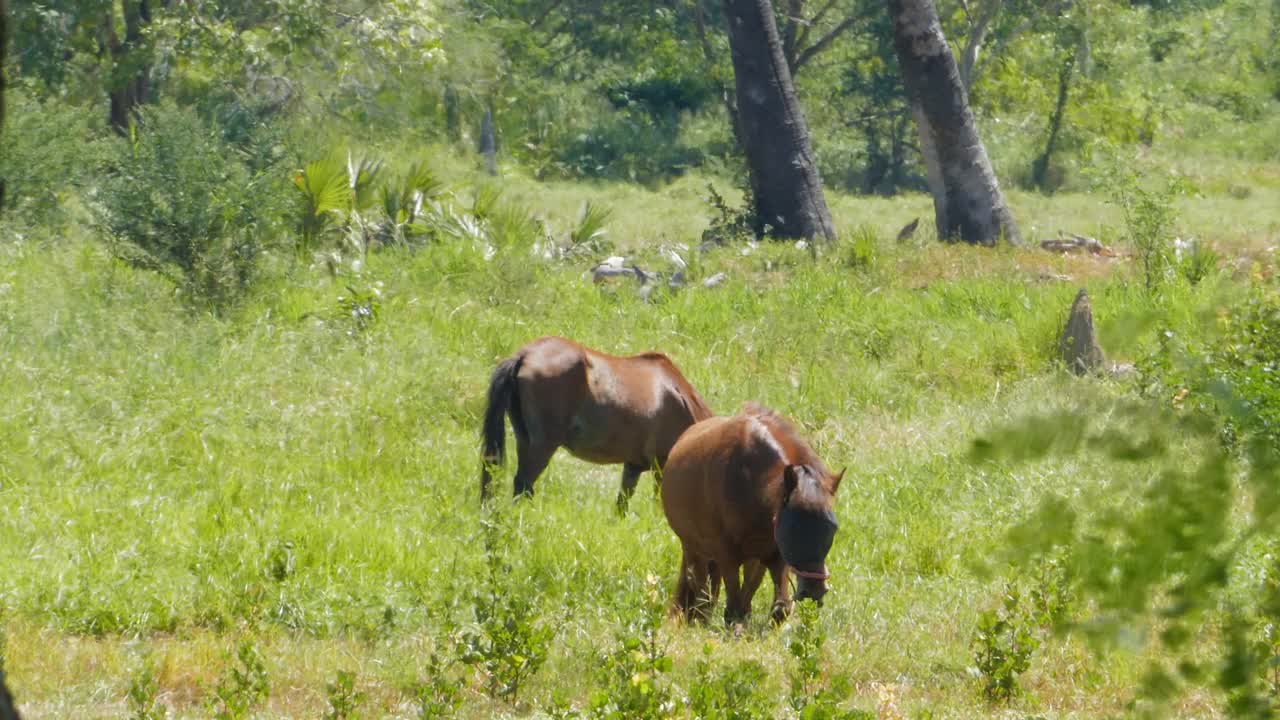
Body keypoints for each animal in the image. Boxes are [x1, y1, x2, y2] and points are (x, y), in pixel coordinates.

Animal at [481, 335, 716, 509]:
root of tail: (525, 355)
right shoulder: (661, 467)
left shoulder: (633, 467)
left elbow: (621, 506)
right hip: (543, 446)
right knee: (523, 485)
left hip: (525, 441)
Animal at [660, 404, 839, 622]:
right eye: (794, 527)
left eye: (832, 528)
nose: (815, 590)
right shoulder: (727, 556)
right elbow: (733, 607)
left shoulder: (774, 556)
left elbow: (777, 608)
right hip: (694, 549)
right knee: (700, 590)